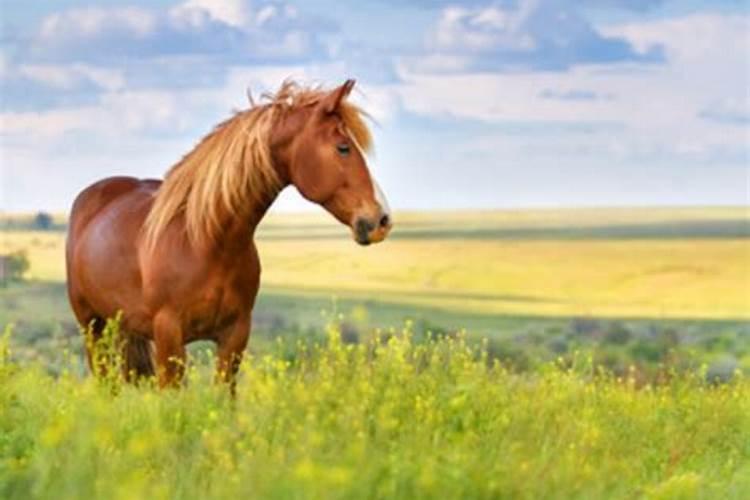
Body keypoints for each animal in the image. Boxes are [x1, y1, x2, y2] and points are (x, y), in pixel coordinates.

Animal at [65, 79, 394, 390]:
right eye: (343, 147)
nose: (382, 220)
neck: (205, 242)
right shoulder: (168, 336)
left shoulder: (234, 336)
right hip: (93, 328)